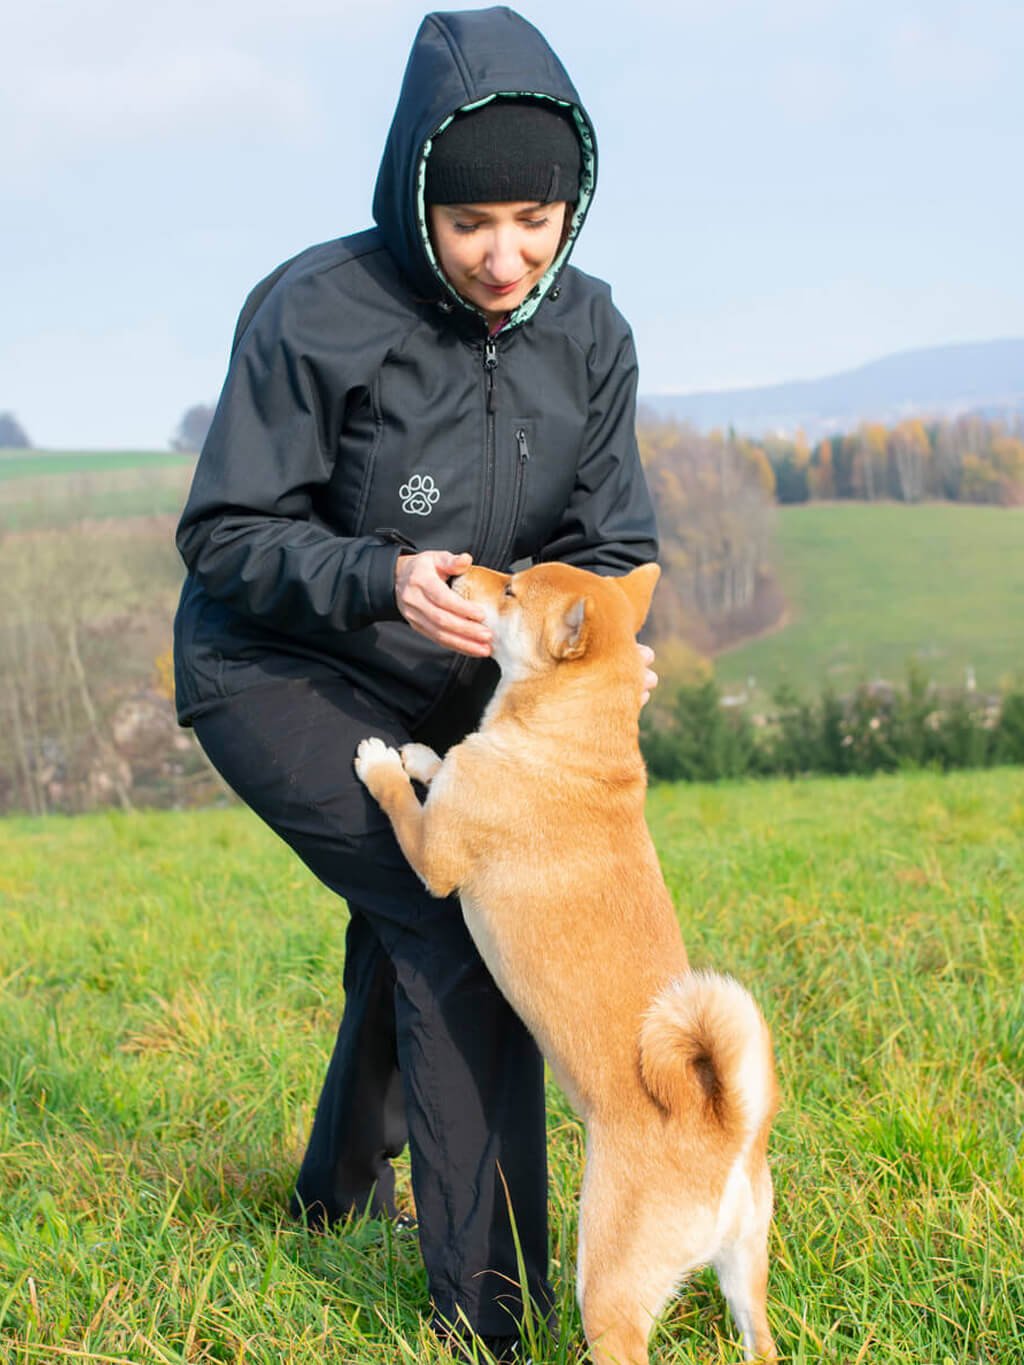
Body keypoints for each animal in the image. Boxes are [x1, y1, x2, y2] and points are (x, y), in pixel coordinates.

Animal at [357, 559, 780, 1359]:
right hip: (745, 1276)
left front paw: (382, 763)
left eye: (511, 590)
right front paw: (424, 753)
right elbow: (440, 763)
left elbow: (401, 801)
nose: (456, 568)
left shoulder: (433, 856)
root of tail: (722, 1129)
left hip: (608, 1291)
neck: (572, 743)